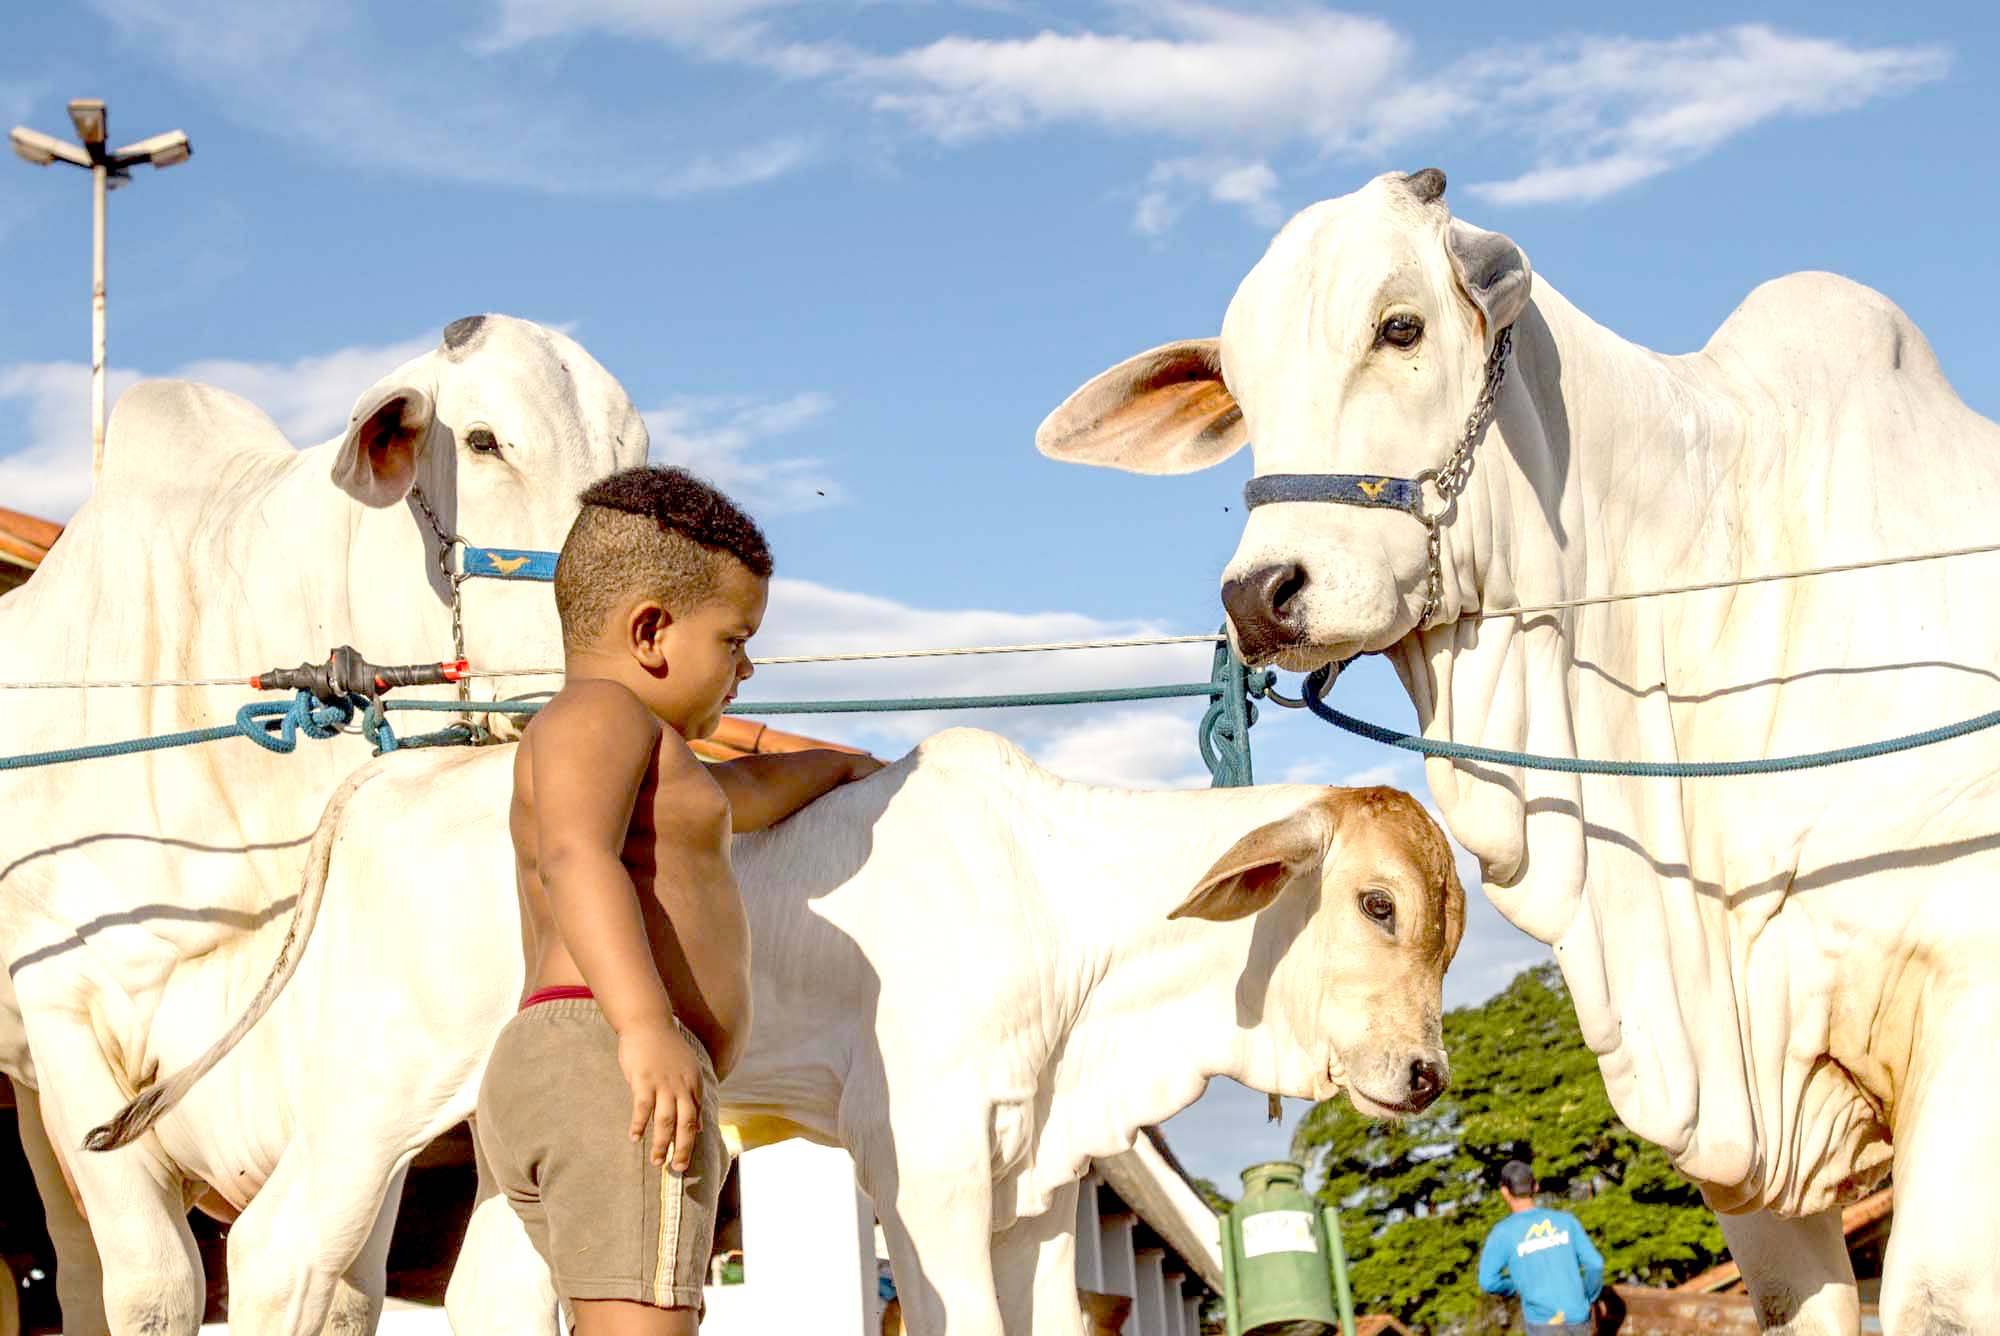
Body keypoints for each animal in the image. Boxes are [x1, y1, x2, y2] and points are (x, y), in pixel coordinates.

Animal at [94, 732, 1464, 1336]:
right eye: (1375, 902)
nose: (1422, 1074)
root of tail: (392, 773)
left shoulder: (1027, 1183)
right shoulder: (925, 1165)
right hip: (376, 1095)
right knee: (281, 1255)